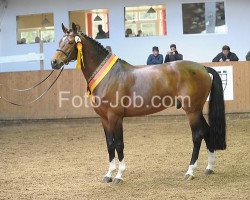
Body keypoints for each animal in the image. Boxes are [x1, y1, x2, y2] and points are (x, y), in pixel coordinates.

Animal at [51, 23, 227, 184]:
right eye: (59, 41)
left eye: (71, 42)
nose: (54, 62)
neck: (108, 77)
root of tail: (203, 67)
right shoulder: (104, 119)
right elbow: (109, 144)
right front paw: (108, 174)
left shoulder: (115, 117)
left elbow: (119, 144)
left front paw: (119, 175)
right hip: (196, 110)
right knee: (207, 131)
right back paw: (209, 167)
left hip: (192, 111)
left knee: (197, 136)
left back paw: (190, 171)